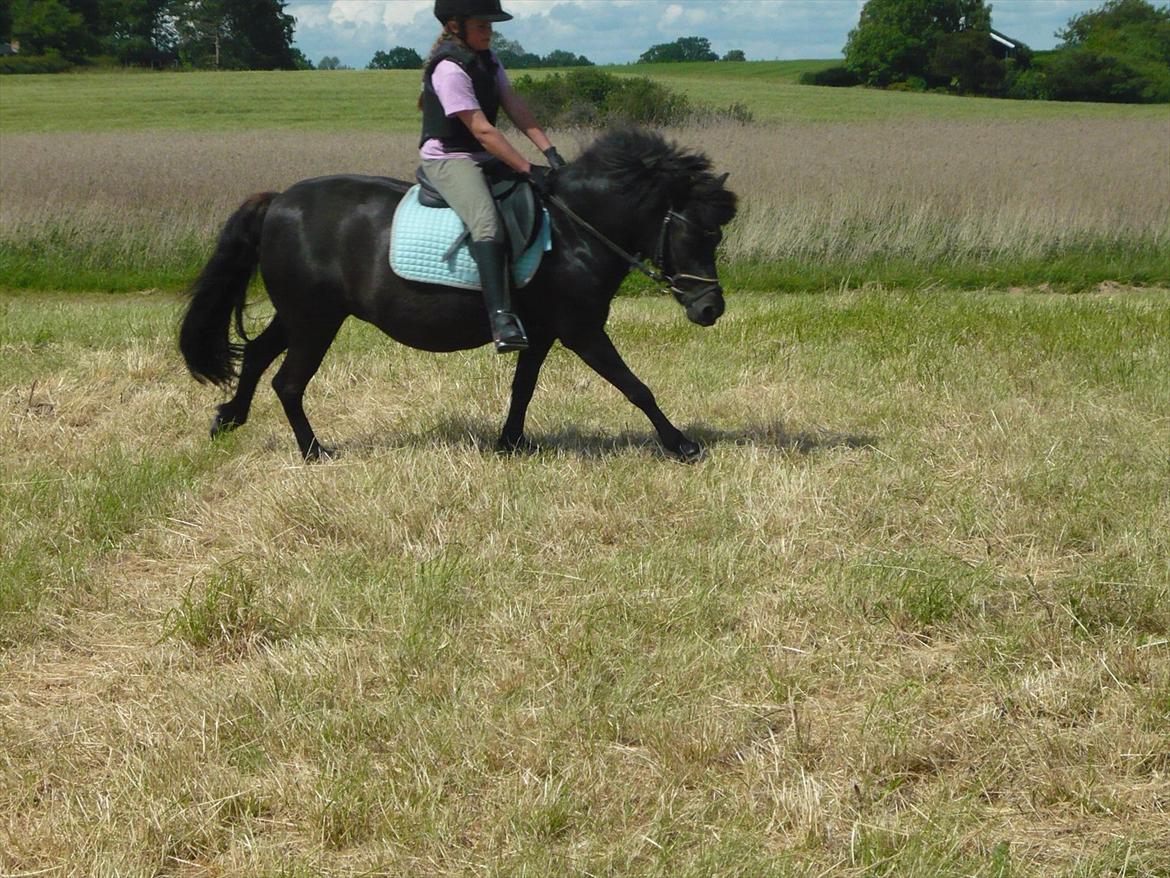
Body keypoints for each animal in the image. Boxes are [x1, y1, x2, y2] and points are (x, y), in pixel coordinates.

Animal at [177, 129, 734, 463]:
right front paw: (682, 444)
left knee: (256, 355)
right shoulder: (581, 330)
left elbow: (523, 388)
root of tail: (278, 203)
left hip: (300, 315)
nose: (711, 309)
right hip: (316, 321)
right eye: (699, 233)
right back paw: (315, 452)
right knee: (288, 382)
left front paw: (510, 442)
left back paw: (228, 418)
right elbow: (635, 387)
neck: (575, 230)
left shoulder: (542, 332)